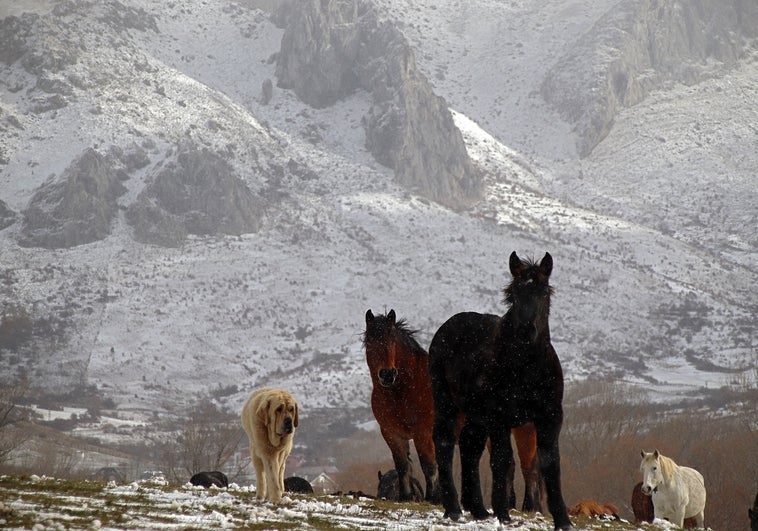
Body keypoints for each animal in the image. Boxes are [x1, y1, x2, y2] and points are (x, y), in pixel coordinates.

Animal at [366, 312, 544, 512]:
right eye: (369, 342)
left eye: (393, 342)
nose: (387, 375)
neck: (403, 389)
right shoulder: (391, 434)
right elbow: (403, 466)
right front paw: (405, 498)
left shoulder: (423, 433)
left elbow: (429, 465)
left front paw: (433, 499)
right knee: (509, 464)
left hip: (525, 429)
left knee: (529, 466)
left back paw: (529, 508)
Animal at [430, 251, 572, 528]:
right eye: (514, 294)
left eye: (544, 293)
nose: (527, 331)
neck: (526, 368)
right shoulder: (499, 418)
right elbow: (502, 460)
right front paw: (503, 512)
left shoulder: (550, 417)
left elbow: (550, 462)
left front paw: (563, 520)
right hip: (447, 404)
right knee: (445, 442)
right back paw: (453, 509)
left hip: (476, 416)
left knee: (469, 446)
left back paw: (478, 509)